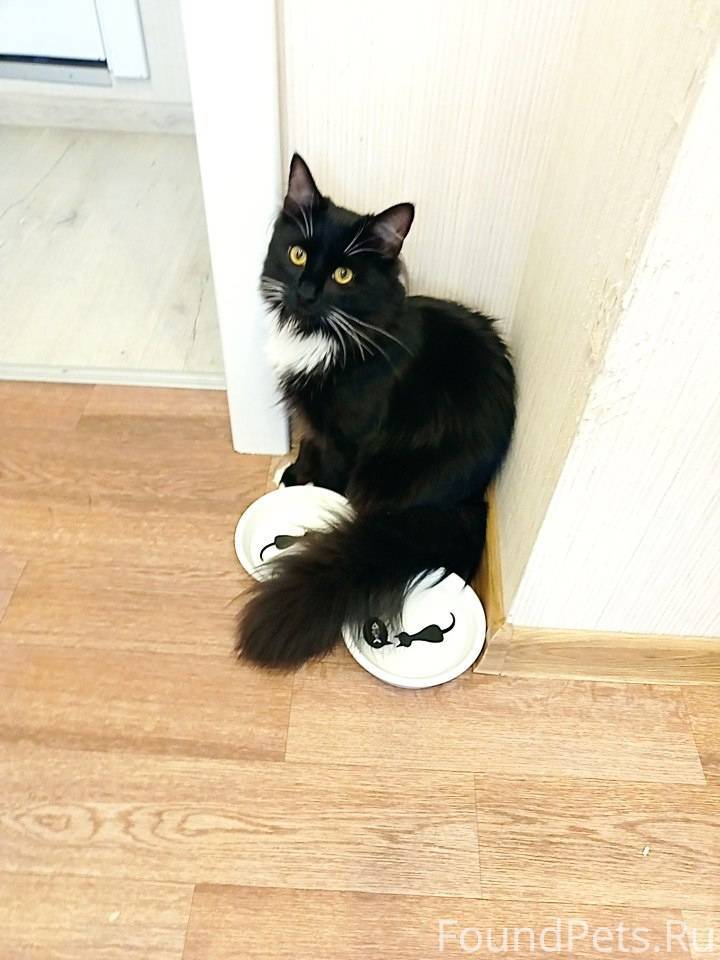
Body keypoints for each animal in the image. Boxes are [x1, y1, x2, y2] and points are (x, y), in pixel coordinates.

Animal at [236, 154, 516, 669]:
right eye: (298, 255)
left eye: (343, 276)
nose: (306, 291)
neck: (318, 332)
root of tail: (469, 501)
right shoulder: (314, 419)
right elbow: (308, 444)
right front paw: (294, 475)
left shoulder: (349, 435)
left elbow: (330, 470)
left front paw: (315, 491)